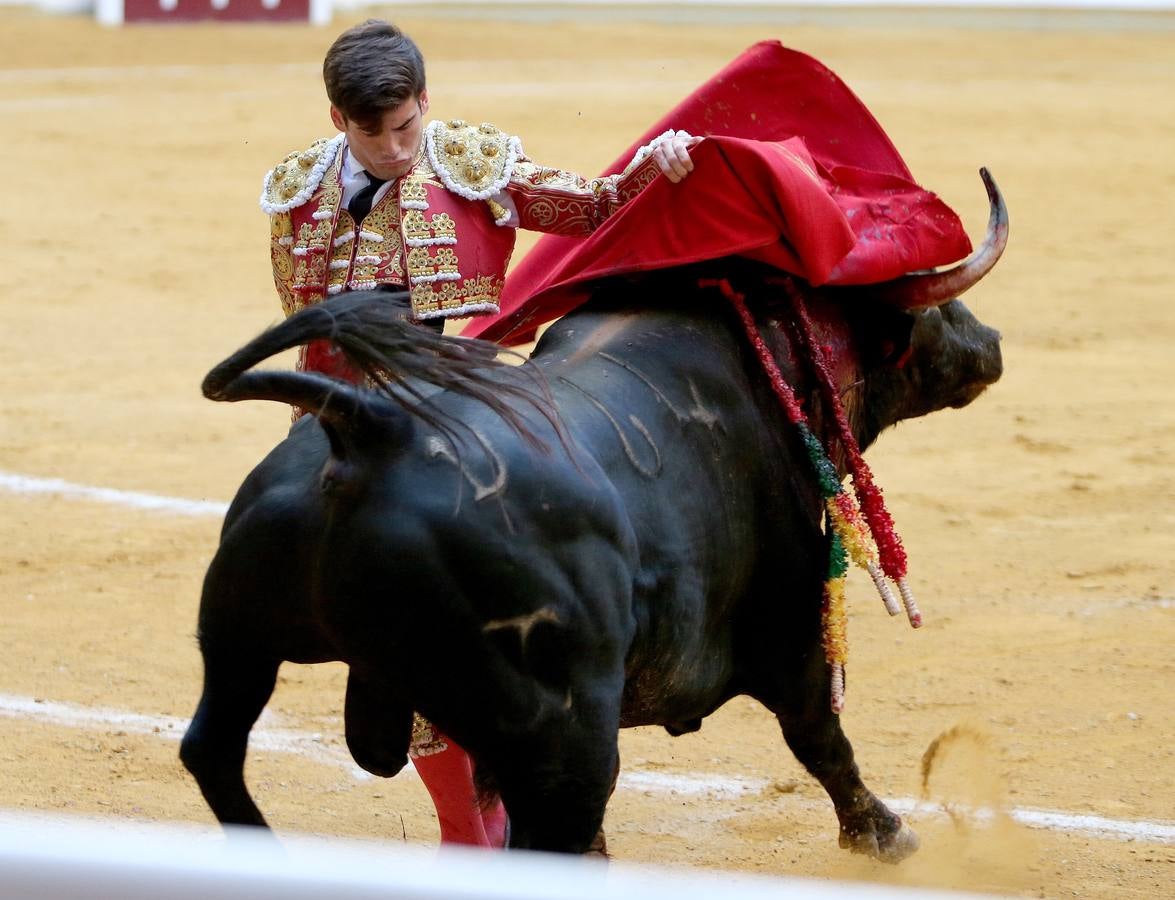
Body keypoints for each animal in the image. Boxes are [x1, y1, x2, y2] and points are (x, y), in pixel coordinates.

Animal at [178, 171, 1005, 860]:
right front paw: (884, 834)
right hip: (559, 729)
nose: (990, 342)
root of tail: (365, 427)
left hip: (237, 636)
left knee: (212, 748)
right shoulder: (791, 622)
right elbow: (819, 734)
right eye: (933, 306)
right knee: (553, 821)